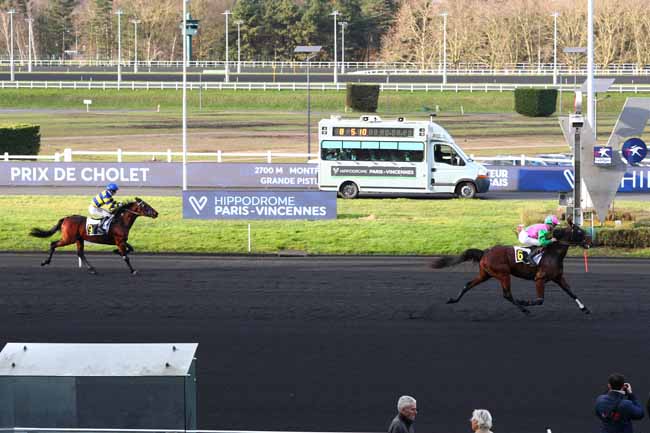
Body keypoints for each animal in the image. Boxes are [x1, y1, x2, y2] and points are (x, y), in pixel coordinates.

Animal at [29, 198, 158, 274]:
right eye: (145, 206)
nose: (156, 213)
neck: (120, 221)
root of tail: (66, 218)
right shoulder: (119, 241)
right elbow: (126, 256)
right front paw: (133, 270)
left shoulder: (122, 240)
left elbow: (130, 249)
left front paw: (116, 251)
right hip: (68, 239)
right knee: (53, 244)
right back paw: (45, 262)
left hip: (79, 239)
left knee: (80, 253)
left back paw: (92, 269)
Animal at [428, 219, 588, 314]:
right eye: (579, 231)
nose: (589, 242)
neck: (553, 253)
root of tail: (485, 252)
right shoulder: (540, 279)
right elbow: (539, 300)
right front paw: (525, 302)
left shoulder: (558, 277)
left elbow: (571, 292)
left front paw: (585, 308)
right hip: (503, 274)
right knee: (507, 294)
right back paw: (523, 309)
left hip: (485, 274)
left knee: (468, 284)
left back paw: (453, 300)